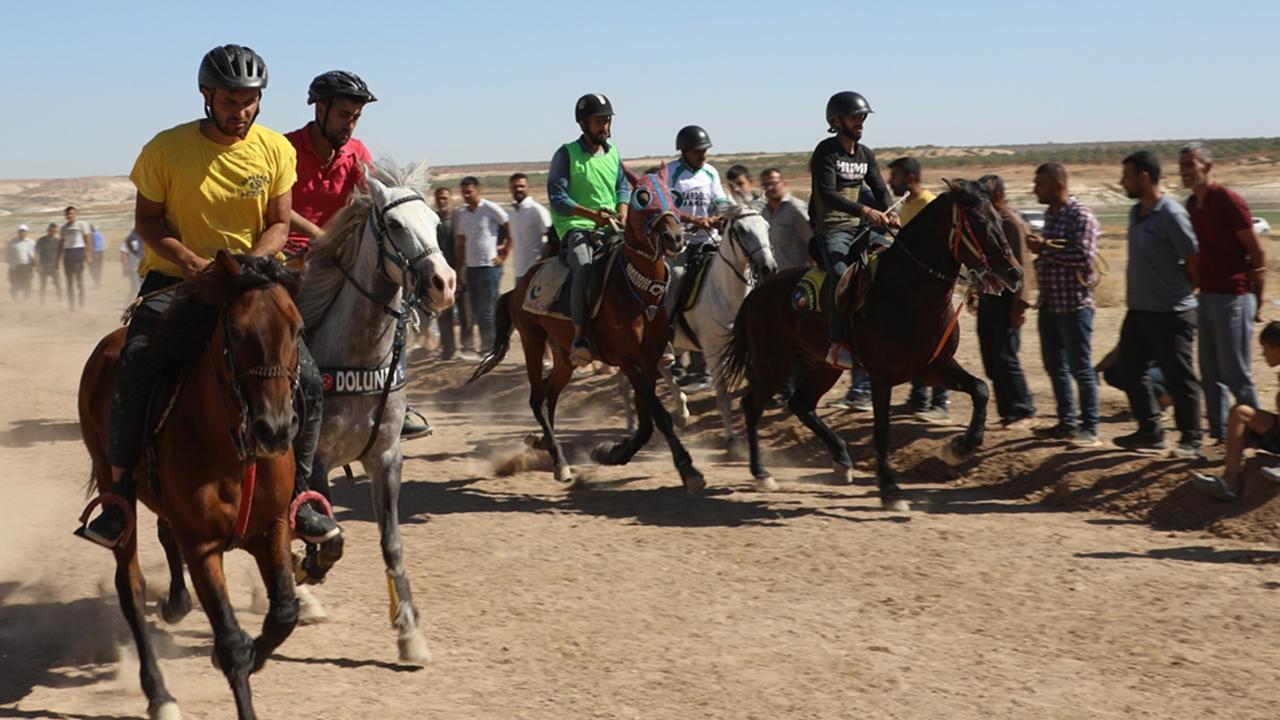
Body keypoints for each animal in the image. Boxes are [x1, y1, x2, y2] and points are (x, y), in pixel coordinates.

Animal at [78, 251, 305, 717]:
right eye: (235, 331)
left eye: (297, 328)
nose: (274, 429)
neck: (234, 450)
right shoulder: (203, 548)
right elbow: (232, 642)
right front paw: (234, 663)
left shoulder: (272, 527)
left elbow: (284, 614)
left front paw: (253, 652)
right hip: (115, 491)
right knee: (130, 586)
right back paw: (159, 694)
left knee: (165, 537)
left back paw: (176, 605)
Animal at [288, 162, 458, 661]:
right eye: (395, 224)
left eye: (437, 223)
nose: (444, 284)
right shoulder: (316, 461)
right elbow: (325, 537)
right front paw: (307, 571)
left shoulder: (385, 457)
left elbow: (392, 543)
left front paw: (410, 633)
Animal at [471, 169, 711, 486]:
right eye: (642, 197)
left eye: (673, 195)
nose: (675, 237)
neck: (638, 291)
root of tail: (518, 287)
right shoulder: (629, 361)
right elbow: (658, 416)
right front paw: (688, 469)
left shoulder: (648, 361)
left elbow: (646, 420)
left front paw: (611, 452)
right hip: (532, 339)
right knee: (537, 398)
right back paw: (560, 462)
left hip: (564, 355)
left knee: (549, 395)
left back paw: (542, 442)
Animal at [727, 176, 1024, 507]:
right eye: (977, 223)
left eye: (1000, 218)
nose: (1014, 273)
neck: (909, 292)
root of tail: (760, 291)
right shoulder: (882, 376)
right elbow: (882, 429)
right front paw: (890, 488)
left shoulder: (934, 367)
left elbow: (981, 389)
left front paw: (959, 447)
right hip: (772, 364)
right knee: (752, 405)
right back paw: (761, 473)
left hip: (823, 367)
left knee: (801, 404)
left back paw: (842, 459)